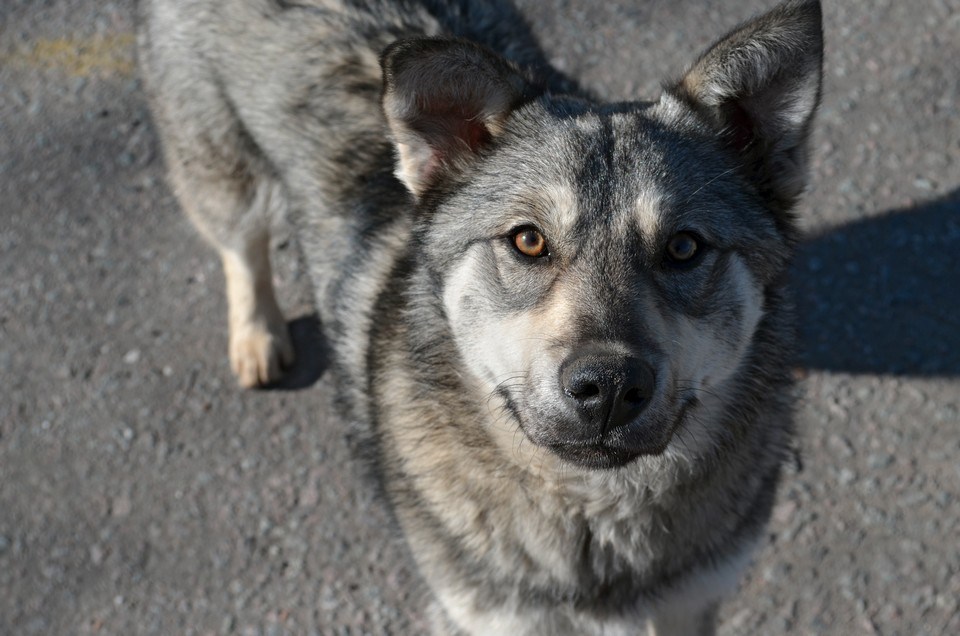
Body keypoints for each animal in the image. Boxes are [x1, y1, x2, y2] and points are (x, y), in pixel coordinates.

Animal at [139, 1, 820, 632]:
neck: (592, 512)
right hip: (220, 172)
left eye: (683, 247)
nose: (608, 387)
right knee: (240, 245)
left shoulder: (692, 603)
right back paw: (257, 337)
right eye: (528, 241)